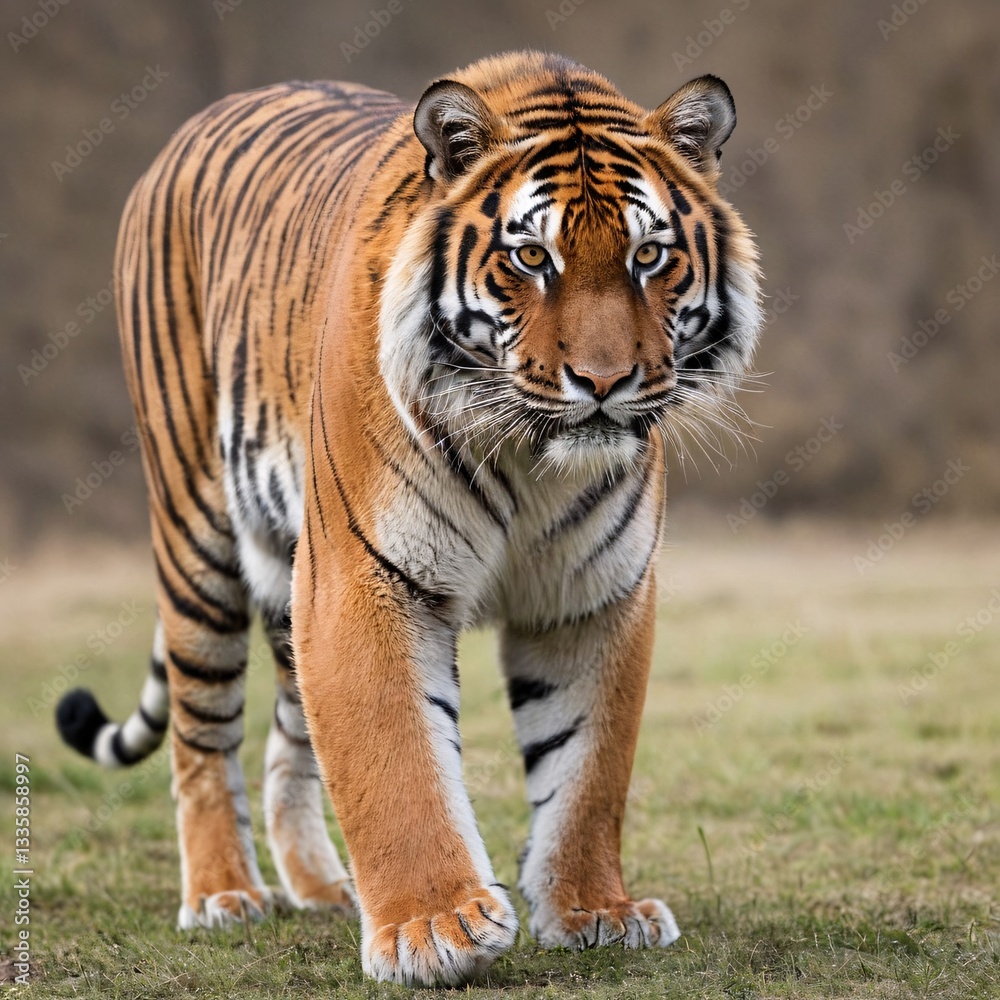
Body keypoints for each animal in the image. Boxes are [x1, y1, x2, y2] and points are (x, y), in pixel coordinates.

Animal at [55, 50, 762, 986]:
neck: (531, 458)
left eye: (650, 255)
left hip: (289, 573)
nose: (604, 382)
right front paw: (433, 930)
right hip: (197, 534)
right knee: (202, 736)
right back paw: (223, 894)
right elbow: (393, 757)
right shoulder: (366, 576)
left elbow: (588, 767)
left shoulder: (592, 595)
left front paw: (595, 911)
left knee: (288, 739)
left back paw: (321, 888)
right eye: (531, 256)